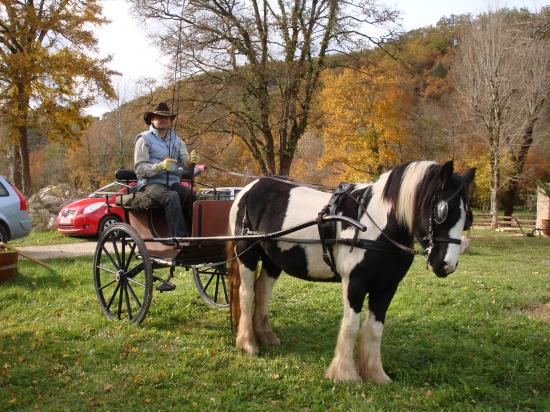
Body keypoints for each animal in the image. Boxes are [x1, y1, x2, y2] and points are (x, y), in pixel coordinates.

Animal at [226, 161, 476, 384]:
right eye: (442, 211)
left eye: (467, 215)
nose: (446, 265)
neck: (374, 225)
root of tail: (249, 189)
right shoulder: (355, 282)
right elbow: (351, 325)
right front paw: (345, 373)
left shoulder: (387, 287)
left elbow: (375, 329)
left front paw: (375, 374)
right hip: (247, 254)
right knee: (247, 294)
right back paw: (248, 342)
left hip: (272, 260)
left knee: (262, 291)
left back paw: (266, 335)